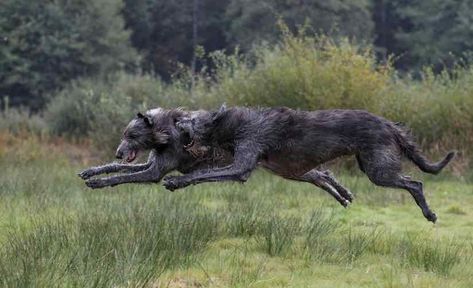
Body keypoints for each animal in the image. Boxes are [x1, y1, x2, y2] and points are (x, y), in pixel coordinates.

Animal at [79, 106, 456, 223]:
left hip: (378, 169)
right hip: (296, 168)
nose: (119, 151)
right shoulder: (152, 165)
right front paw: (92, 172)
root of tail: (390, 124)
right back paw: (344, 195)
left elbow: (128, 177)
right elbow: (116, 171)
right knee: (324, 174)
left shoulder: (158, 170)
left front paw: (99, 182)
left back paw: (429, 213)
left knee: (415, 183)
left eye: (130, 134)